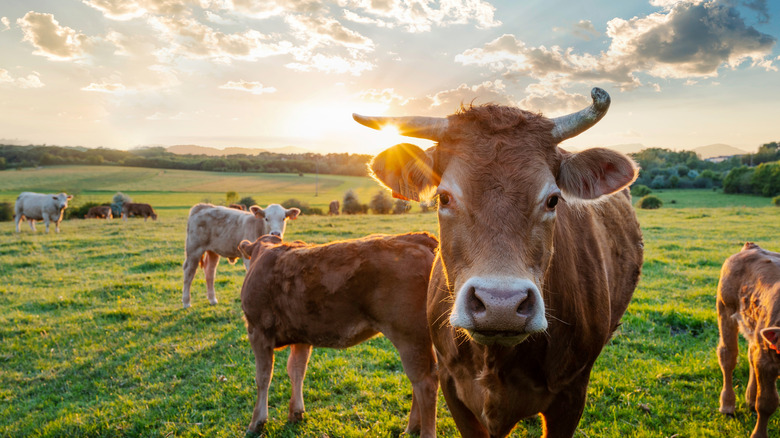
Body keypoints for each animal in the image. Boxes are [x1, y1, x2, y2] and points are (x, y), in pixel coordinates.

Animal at [238, 233, 442, 434]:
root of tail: (415, 237)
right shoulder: (301, 336)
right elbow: (296, 370)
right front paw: (296, 413)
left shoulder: (257, 331)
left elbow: (263, 376)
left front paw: (256, 423)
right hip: (420, 338)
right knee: (424, 379)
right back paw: (412, 428)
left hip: (409, 337)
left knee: (424, 382)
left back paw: (422, 431)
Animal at [720, 241, 780, 438]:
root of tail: (752, 247)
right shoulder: (768, 361)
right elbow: (767, 403)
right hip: (725, 309)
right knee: (728, 357)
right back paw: (727, 405)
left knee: (752, 356)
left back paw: (750, 399)